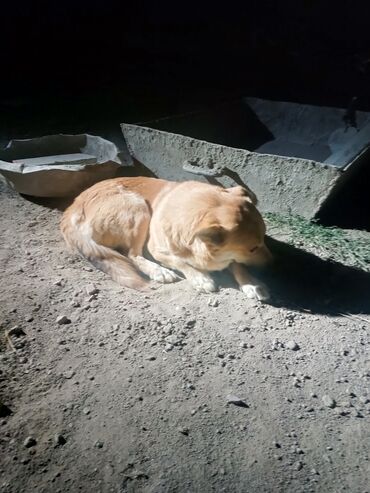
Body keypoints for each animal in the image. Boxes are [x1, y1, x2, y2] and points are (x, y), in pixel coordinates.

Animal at [59, 177, 270, 300]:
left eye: (264, 238)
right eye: (253, 248)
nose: (273, 263)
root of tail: (72, 209)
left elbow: (237, 263)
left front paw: (251, 283)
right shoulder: (157, 249)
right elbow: (181, 262)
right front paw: (200, 278)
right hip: (138, 207)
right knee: (132, 255)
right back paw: (158, 271)